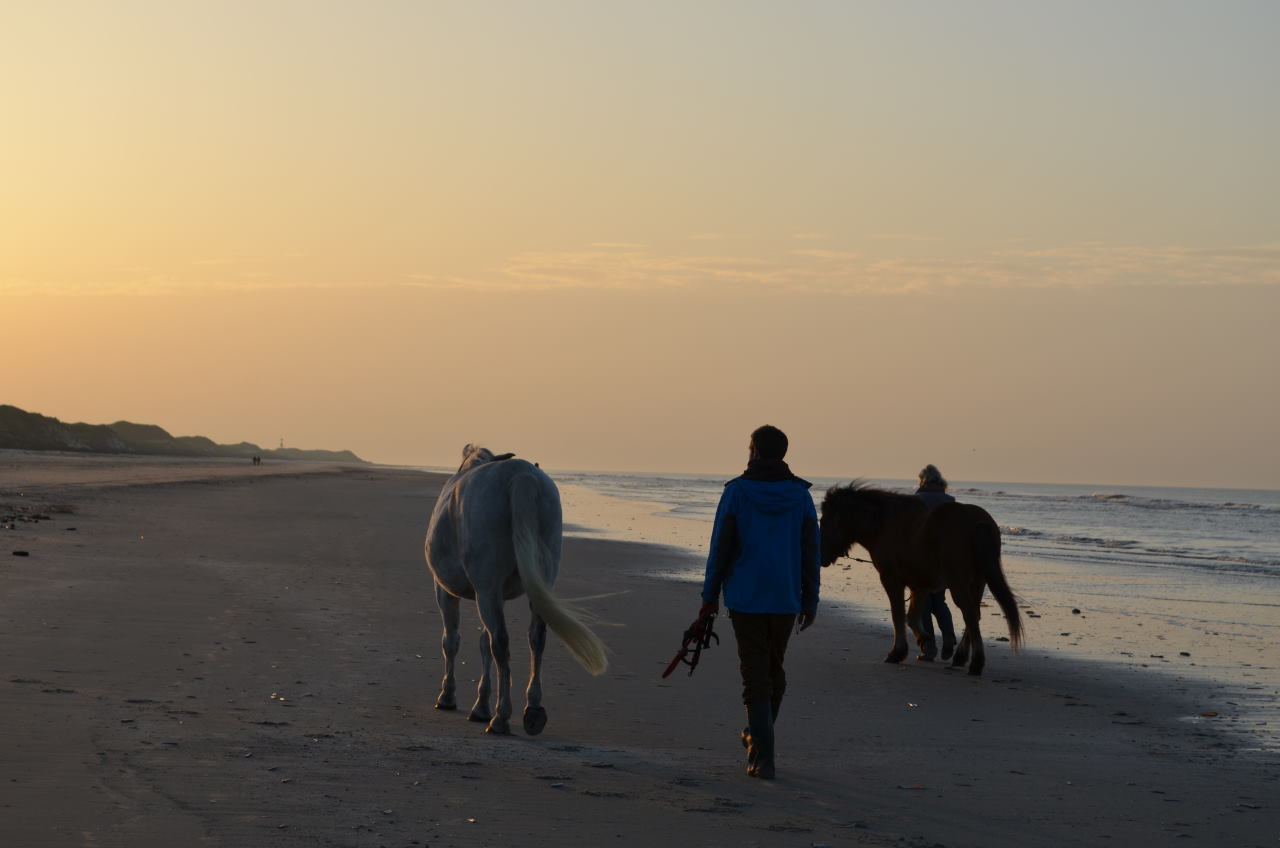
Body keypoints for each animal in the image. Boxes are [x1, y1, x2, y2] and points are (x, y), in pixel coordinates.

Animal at [422, 445, 606, 737]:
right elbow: (483, 644)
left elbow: (452, 641)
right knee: (536, 637)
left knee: (500, 641)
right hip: (536, 580)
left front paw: (448, 696)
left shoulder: (447, 590)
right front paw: (481, 705)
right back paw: (533, 710)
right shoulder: (494, 594)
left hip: (485, 590)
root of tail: (522, 476)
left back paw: (501, 717)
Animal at [824, 484, 1024, 676]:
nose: (822, 557)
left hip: (959, 584)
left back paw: (976, 664)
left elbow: (898, 615)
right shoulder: (919, 585)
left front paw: (897, 652)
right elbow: (912, 617)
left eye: (824, 520)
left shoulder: (891, 579)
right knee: (975, 614)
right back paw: (960, 657)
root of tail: (979, 522)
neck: (884, 525)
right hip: (977, 583)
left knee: (970, 615)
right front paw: (925, 642)